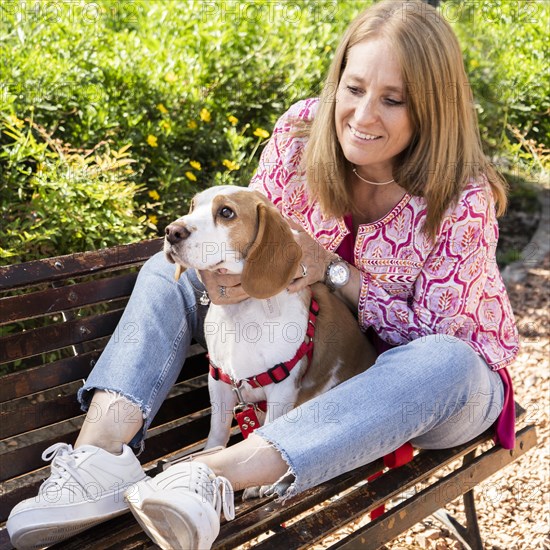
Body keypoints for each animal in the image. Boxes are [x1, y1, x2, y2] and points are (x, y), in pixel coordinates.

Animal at [165, 188, 380, 454]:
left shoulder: (281, 391)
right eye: (193, 206)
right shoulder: (220, 382)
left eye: (226, 212)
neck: (241, 314)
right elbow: (216, 435)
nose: (172, 231)